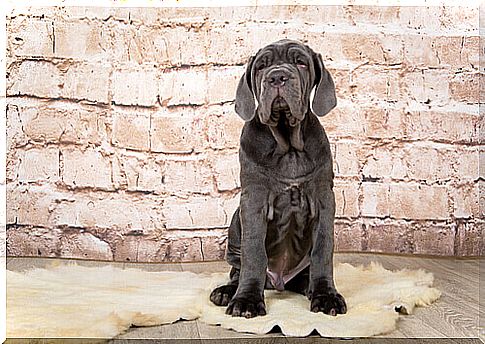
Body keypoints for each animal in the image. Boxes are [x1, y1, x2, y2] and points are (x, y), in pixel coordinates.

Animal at [210, 39, 346, 318]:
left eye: (301, 63)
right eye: (261, 67)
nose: (277, 77)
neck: (288, 145)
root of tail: (279, 281)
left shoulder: (324, 199)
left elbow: (323, 249)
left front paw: (326, 295)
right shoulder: (253, 200)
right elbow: (254, 253)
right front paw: (246, 301)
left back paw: (308, 287)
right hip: (235, 223)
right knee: (237, 270)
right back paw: (227, 291)